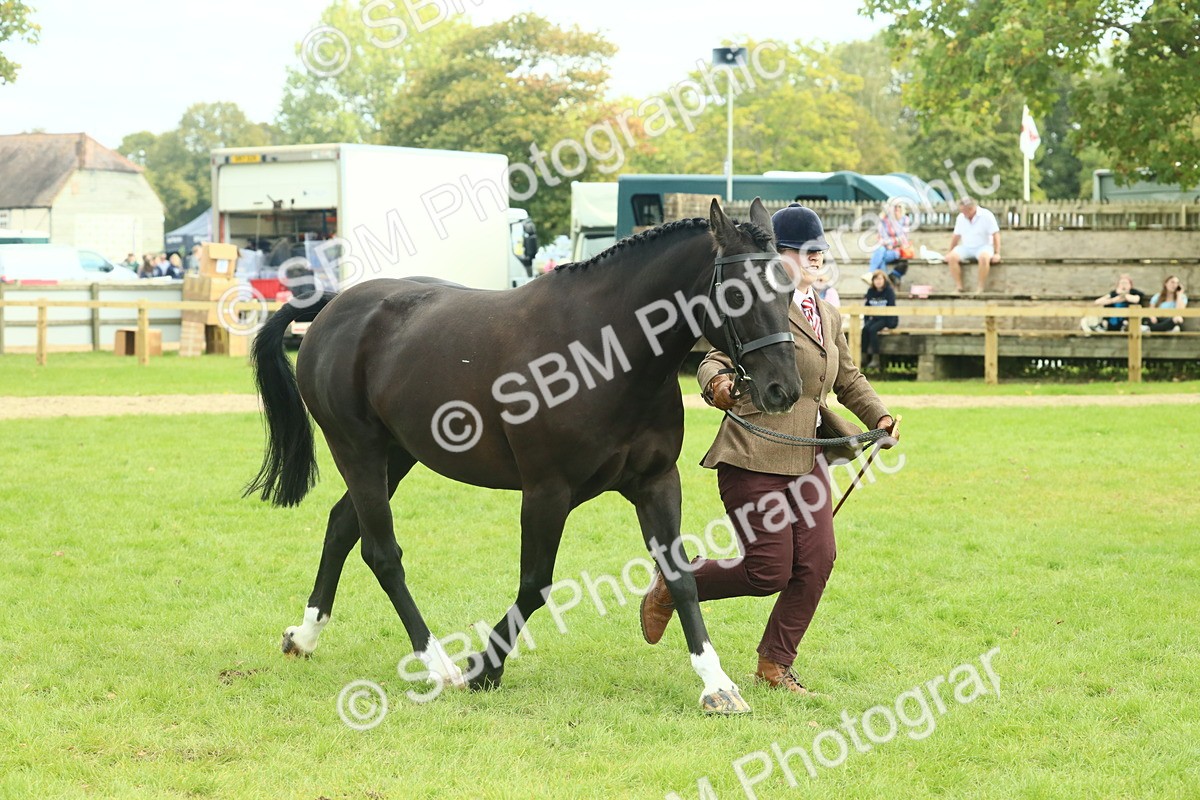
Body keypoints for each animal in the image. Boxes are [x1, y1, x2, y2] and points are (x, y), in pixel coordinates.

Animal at [246, 197, 803, 714]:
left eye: (789, 288)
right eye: (737, 292)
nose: (784, 389)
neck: (602, 352)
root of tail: (335, 304)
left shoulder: (657, 482)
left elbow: (680, 576)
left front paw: (717, 684)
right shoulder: (546, 492)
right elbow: (535, 584)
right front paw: (483, 668)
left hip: (397, 455)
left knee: (342, 525)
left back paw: (304, 636)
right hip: (357, 449)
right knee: (381, 552)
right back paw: (438, 665)